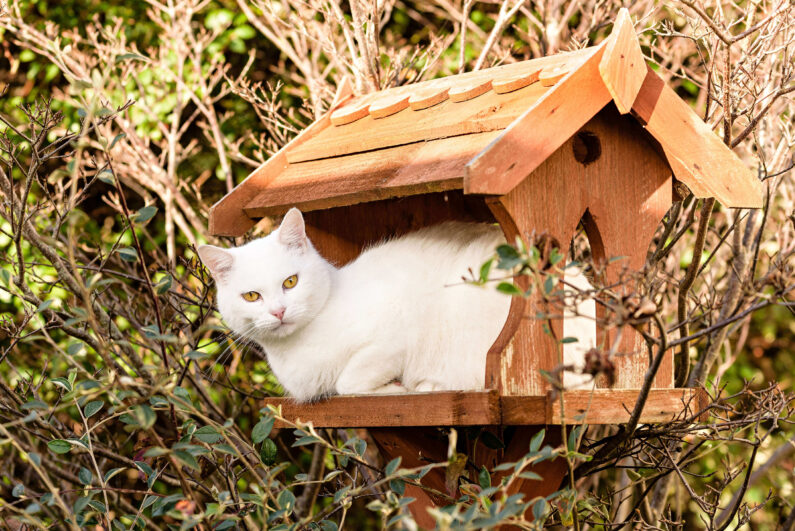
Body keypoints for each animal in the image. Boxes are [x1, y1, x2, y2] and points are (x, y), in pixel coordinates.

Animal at [199, 210, 596, 402]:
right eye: (252, 296)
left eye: (290, 282)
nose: (278, 312)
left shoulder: (395, 332)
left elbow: (348, 381)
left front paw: (395, 388)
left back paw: (429, 385)